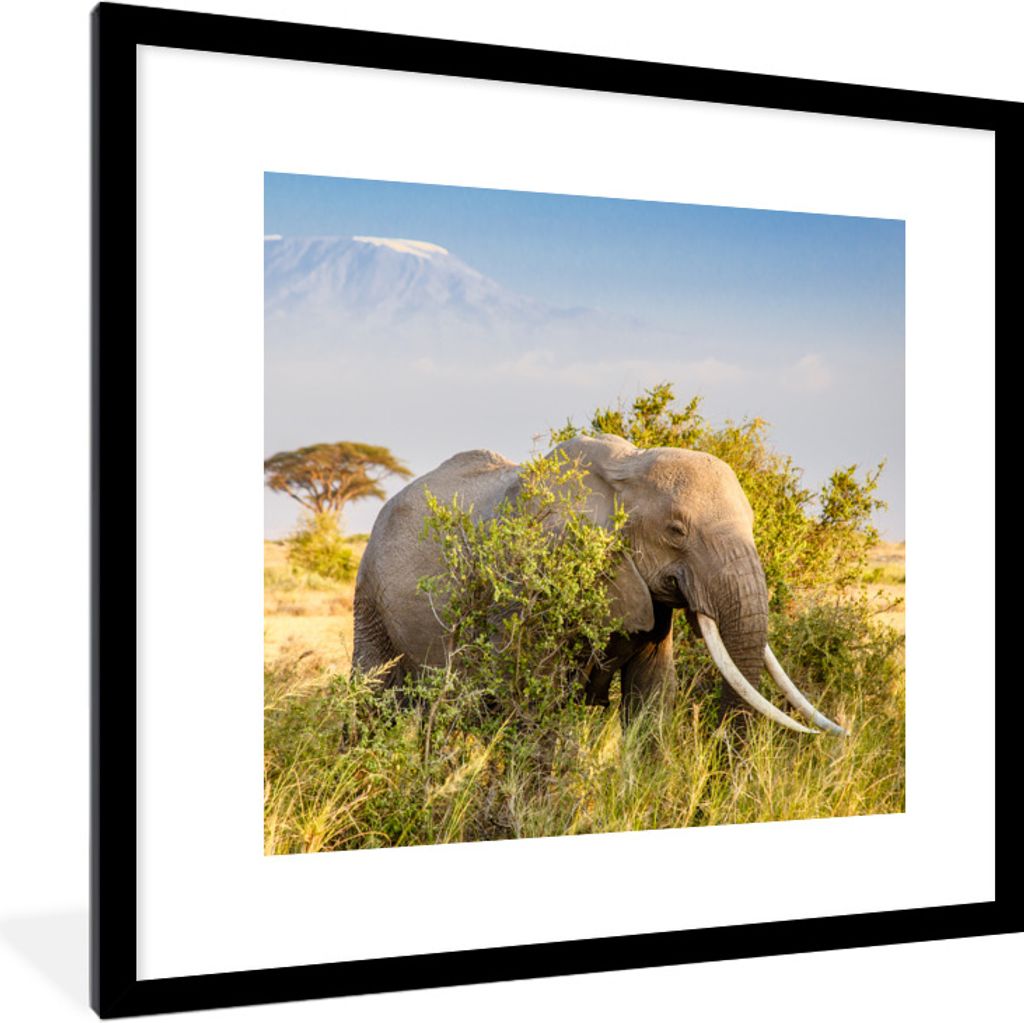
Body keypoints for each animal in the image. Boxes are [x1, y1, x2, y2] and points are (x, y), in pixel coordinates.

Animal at [352, 433, 845, 735]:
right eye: (676, 531)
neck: (627, 467)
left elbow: (651, 697)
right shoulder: (534, 573)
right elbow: (534, 698)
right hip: (369, 594)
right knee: (372, 697)